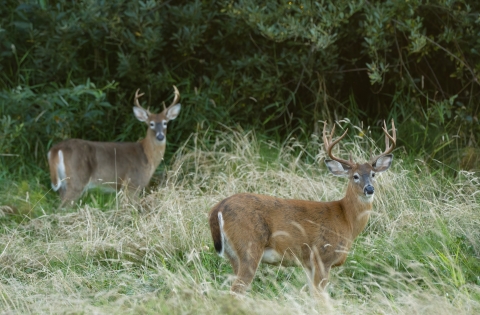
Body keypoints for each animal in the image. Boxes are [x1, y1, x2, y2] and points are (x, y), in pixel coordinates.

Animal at [47, 87, 182, 209]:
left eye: (165, 123)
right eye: (151, 124)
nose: (160, 136)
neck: (147, 155)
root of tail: (55, 149)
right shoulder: (133, 183)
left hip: (63, 184)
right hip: (77, 179)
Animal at [208, 119, 396, 298]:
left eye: (373, 174)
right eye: (355, 176)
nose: (369, 189)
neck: (346, 218)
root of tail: (218, 208)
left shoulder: (308, 263)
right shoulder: (322, 256)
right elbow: (321, 297)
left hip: (233, 254)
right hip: (249, 247)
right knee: (235, 291)